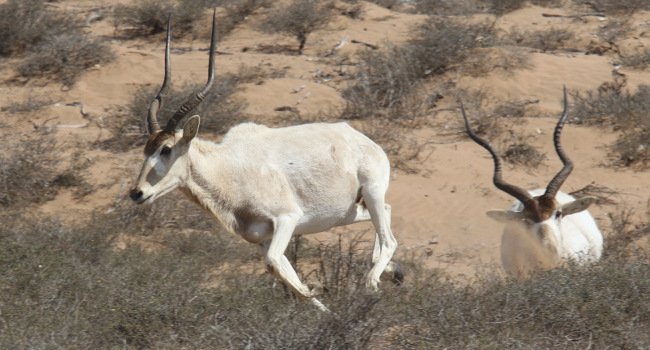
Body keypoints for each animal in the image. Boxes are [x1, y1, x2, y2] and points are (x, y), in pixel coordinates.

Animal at [127, 12, 400, 312]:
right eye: (146, 149)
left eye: (166, 149)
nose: (137, 193)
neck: (229, 168)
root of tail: (360, 138)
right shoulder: (263, 238)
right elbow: (282, 270)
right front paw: (322, 309)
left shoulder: (287, 219)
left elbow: (274, 264)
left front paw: (324, 303)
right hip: (347, 211)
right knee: (385, 214)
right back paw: (389, 272)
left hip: (371, 191)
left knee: (389, 238)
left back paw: (372, 283)